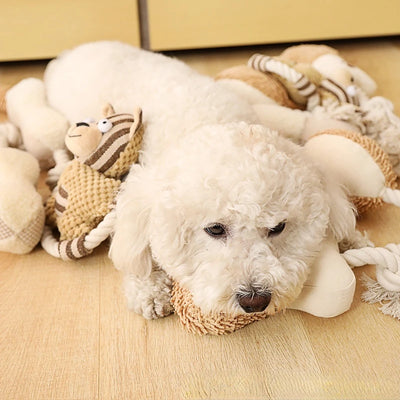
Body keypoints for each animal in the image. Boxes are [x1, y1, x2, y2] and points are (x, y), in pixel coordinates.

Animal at [43, 41, 356, 318]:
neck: (207, 121)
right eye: (215, 229)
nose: (255, 300)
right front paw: (149, 290)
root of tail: (73, 51)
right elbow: (137, 255)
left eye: (278, 227)